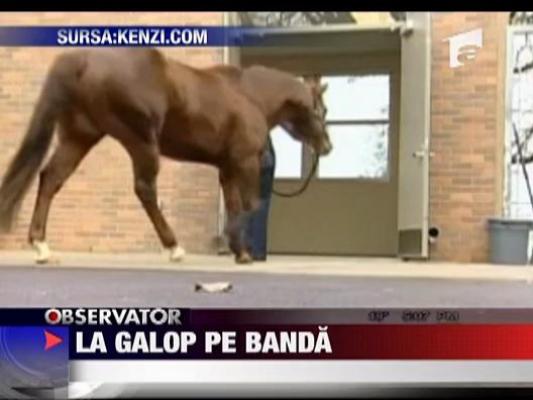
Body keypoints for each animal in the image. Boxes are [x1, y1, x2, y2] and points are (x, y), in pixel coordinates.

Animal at [0, 47, 328, 262]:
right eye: (321, 110)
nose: (327, 147)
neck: (249, 96)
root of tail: (84, 60)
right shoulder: (245, 163)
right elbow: (251, 204)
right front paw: (240, 248)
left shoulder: (227, 168)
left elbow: (235, 205)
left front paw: (239, 250)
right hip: (141, 142)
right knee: (145, 190)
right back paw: (174, 247)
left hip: (79, 138)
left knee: (51, 178)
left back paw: (41, 245)